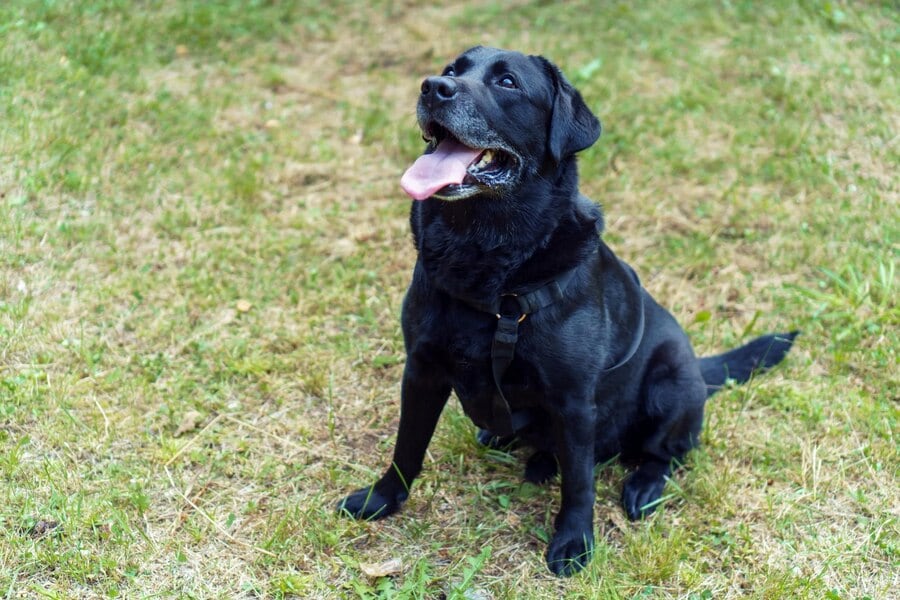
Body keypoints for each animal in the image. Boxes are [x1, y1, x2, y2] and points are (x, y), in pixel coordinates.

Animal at [336, 47, 796, 576]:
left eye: (508, 82)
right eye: (453, 70)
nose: (433, 87)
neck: (486, 258)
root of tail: (700, 370)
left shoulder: (573, 400)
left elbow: (580, 482)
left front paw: (574, 543)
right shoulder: (421, 370)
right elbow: (406, 446)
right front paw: (381, 500)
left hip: (671, 386)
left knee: (666, 453)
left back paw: (642, 486)